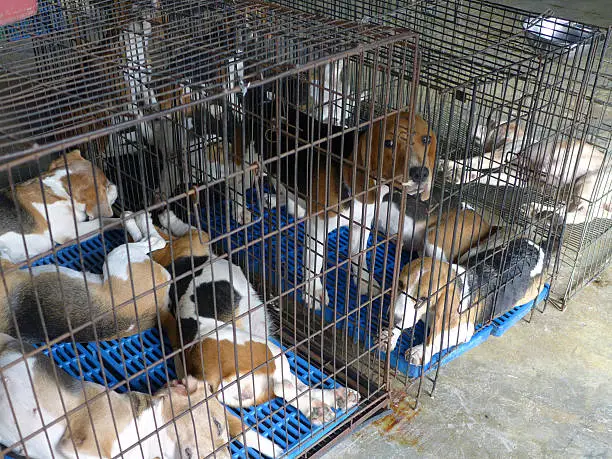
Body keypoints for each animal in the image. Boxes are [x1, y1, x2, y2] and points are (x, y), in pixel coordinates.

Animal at [146, 211, 360, 456]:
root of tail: (205, 374)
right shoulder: (196, 236)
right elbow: (188, 227)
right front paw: (167, 218)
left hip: (255, 388)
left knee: (287, 388)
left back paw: (328, 403)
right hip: (270, 352)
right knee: (288, 386)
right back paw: (325, 403)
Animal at [262, 108, 436, 310]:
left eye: (426, 139)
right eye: (389, 143)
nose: (420, 173)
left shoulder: (362, 223)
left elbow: (358, 255)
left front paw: (364, 281)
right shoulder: (318, 227)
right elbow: (315, 260)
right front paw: (314, 291)